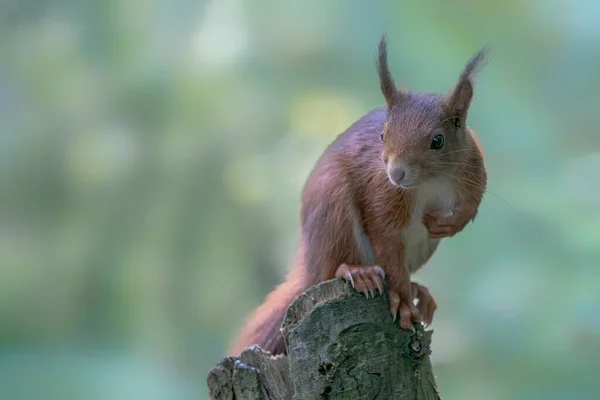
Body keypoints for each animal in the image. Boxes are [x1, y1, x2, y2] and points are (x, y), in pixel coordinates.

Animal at [229, 36, 488, 356]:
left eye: (437, 141)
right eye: (383, 135)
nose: (396, 173)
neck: (430, 183)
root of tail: (311, 266)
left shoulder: (472, 165)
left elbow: (473, 202)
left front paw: (451, 224)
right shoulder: (382, 193)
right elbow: (384, 233)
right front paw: (403, 302)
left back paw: (418, 289)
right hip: (334, 210)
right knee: (337, 267)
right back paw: (358, 272)